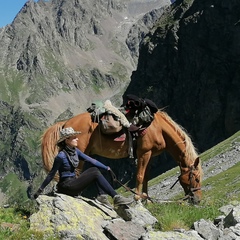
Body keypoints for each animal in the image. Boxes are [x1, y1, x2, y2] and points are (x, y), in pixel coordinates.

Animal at [41, 110, 202, 202]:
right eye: (196, 178)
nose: (198, 200)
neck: (158, 128)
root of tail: (66, 123)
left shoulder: (150, 156)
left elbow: (146, 178)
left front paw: (146, 199)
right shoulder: (144, 153)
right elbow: (140, 176)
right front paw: (137, 200)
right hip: (79, 154)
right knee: (76, 173)